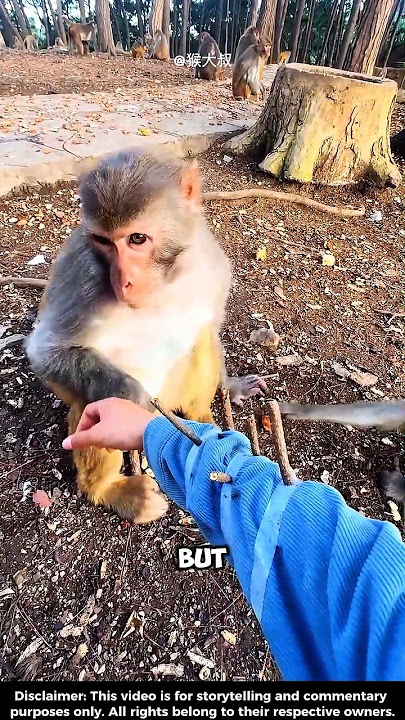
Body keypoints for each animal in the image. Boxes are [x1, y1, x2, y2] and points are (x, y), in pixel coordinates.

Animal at [26, 150, 267, 525]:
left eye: (136, 239)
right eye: (103, 242)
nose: (122, 280)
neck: (163, 282)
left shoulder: (210, 262)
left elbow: (211, 327)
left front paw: (233, 386)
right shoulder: (82, 273)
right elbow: (48, 353)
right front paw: (132, 399)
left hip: (175, 394)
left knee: (200, 337)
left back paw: (202, 421)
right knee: (88, 402)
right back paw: (109, 490)